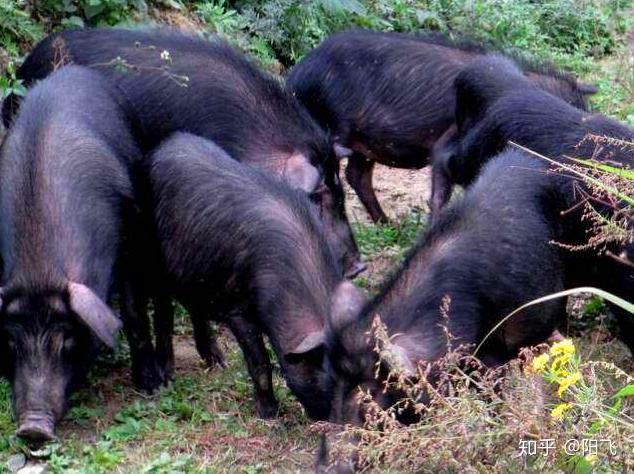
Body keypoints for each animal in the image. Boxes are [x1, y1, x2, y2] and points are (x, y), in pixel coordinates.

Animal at [0, 65, 159, 442]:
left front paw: (153, 387)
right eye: (11, 342)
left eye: (67, 340)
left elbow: (133, 311)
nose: (33, 428)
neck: (40, 272)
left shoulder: (129, 229)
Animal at [148, 131, 362, 420]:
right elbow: (260, 363)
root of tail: (164, 144)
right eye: (325, 377)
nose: (338, 421)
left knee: (195, 307)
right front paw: (269, 414)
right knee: (164, 310)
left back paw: (218, 363)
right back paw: (167, 378)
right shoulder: (237, 309)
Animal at [286, 29, 592, 224]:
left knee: (357, 175)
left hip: (364, 144)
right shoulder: (447, 144)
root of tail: (294, 78)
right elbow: (440, 194)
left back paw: (388, 224)